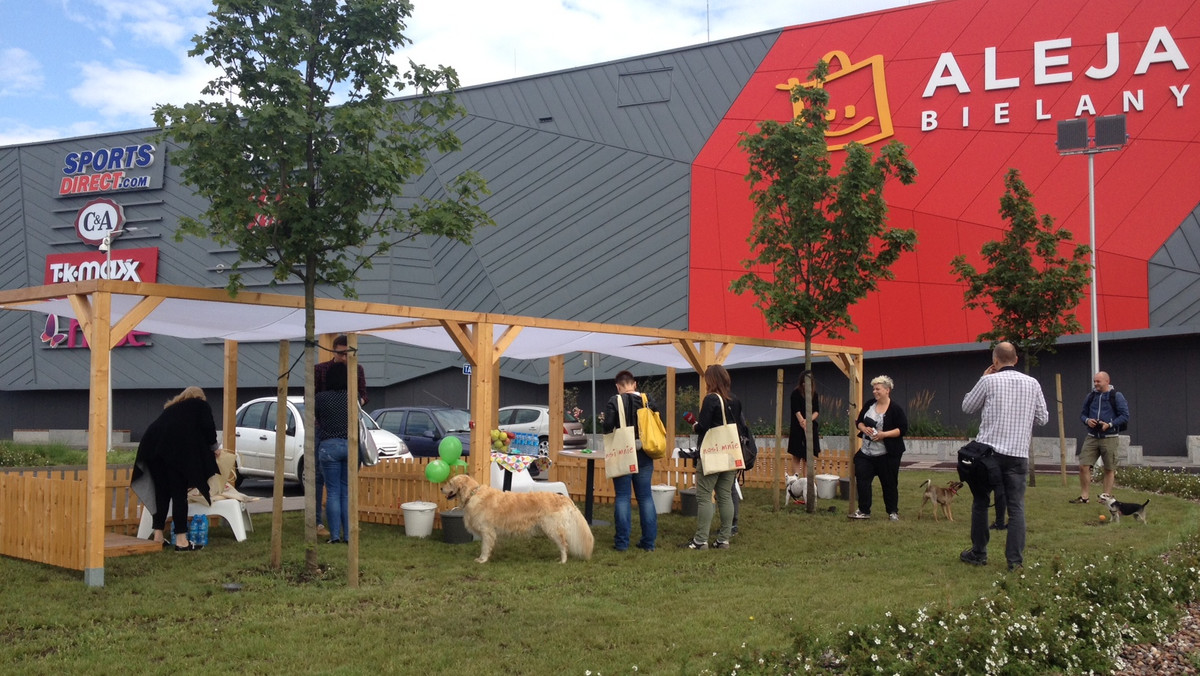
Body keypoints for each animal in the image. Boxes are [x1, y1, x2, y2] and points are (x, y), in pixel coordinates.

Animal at [439, 473, 592, 564]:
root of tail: (564, 498)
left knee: (564, 545)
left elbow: (484, 547)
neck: (473, 494)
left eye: (450, 483)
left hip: (552, 529)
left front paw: (482, 559)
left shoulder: (487, 531)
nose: (441, 488)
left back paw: (562, 561)